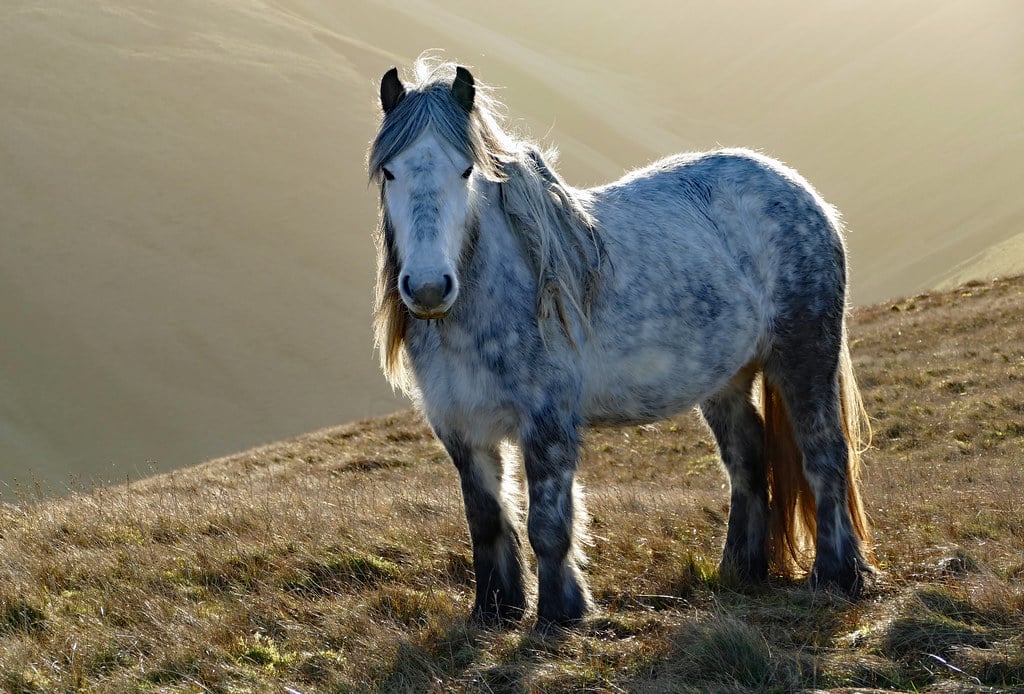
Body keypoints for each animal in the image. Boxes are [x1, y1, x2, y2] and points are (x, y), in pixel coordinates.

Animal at [367, 56, 875, 630]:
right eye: (390, 172)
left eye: (466, 170)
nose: (429, 288)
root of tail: (802, 193)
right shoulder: (461, 428)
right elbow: (486, 520)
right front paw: (495, 610)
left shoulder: (547, 422)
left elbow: (547, 523)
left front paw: (560, 613)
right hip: (726, 379)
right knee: (747, 459)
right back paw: (739, 571)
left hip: (804, 357)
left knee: (824, 452)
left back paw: (838, 574)